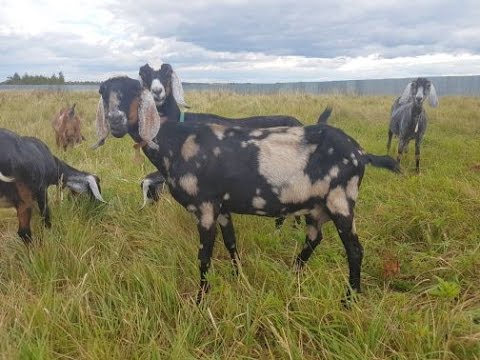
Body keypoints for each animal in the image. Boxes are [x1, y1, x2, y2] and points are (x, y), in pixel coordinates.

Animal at [94, 75, 402, 304]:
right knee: (315, 239)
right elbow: (231, 243)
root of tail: (361, 153)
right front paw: (238, 278)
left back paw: (349, 299)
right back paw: (293, 275)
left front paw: (200, 301)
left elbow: (204, 257)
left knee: (355, 250)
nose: (116, 120)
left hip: (342, 200)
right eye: (103, 92)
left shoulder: (205, 207)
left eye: (135, 91)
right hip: (317, 207)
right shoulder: (222, 208)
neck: (177, 143)